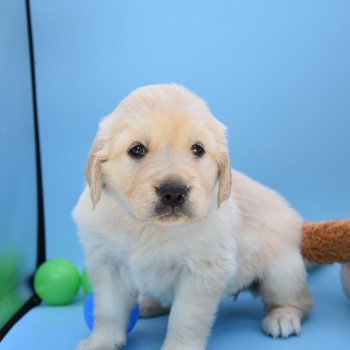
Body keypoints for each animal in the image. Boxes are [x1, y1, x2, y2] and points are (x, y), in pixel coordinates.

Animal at [73, 85, 312, 350]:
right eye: (136, 149)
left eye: (198, 149)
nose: (173, 192)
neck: (149, 228)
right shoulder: (106, 263)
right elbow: (108, 309)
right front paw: (101, 341)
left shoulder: (202, 272)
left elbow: (185, 317)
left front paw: (178, 346)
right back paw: (147, 303)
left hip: (280, 271)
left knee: (301, 300)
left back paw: (283, 316)